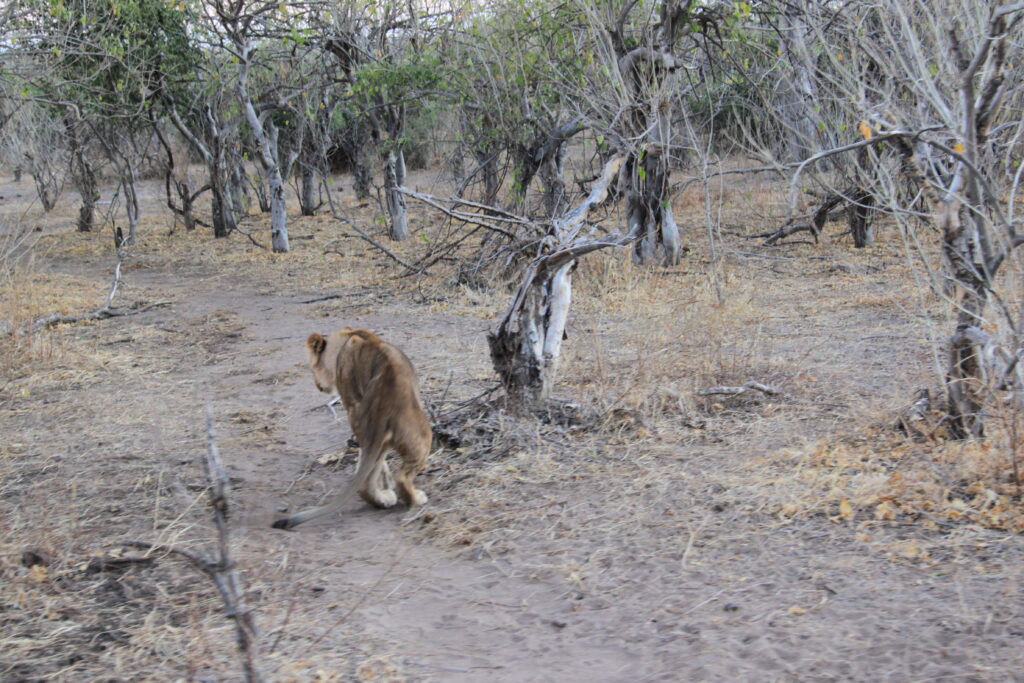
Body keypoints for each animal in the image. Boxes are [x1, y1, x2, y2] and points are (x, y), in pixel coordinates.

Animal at [272, 328, 432, 530]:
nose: (318, 386)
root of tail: (382, 403)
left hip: (370, 432)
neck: (346, 338)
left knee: (366, 480)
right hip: (423, 434)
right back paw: (416, 499)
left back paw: (381, 499)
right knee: (401, 478)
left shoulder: (352, 406)